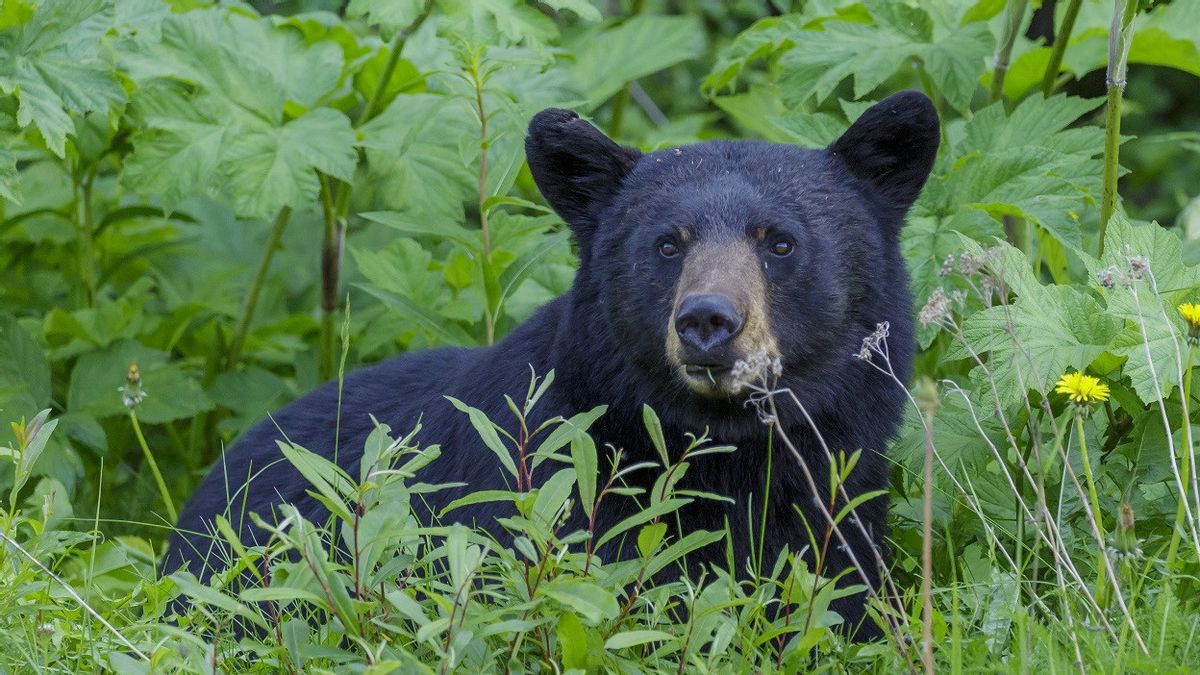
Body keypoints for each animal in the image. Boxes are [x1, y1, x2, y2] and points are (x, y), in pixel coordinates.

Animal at [166, 89, 936, 634]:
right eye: (667, 243)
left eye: (779, 241)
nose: (708, 321)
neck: (726, 454)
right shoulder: (551, 498)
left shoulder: (841, 503)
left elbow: (845, 600)